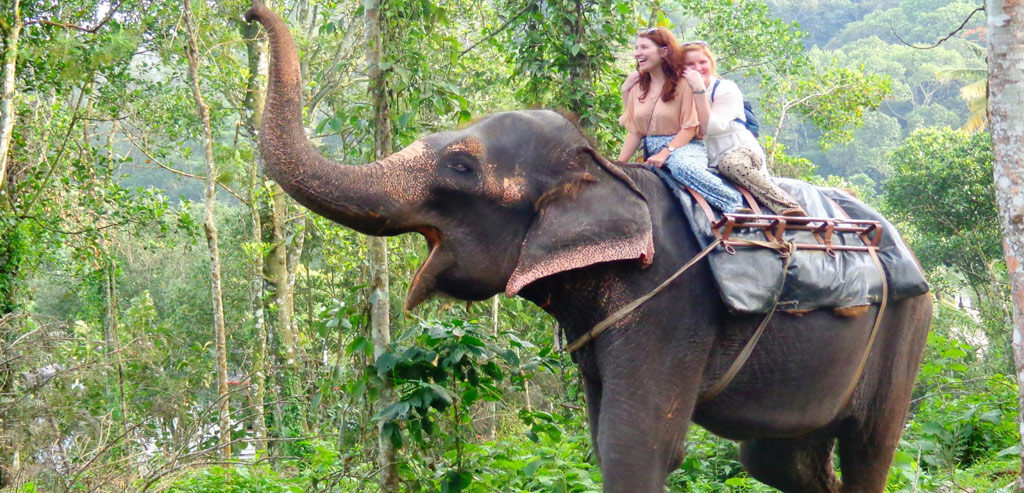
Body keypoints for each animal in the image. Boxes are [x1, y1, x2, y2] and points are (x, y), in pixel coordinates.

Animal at [244, 4, 933, 492]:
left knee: (867, 447)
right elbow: (604, 439)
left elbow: (638, 443)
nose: (250, 15)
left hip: (907, 325)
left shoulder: (668, 305)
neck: (602, 170)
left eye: (461, 168)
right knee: (779, 459)